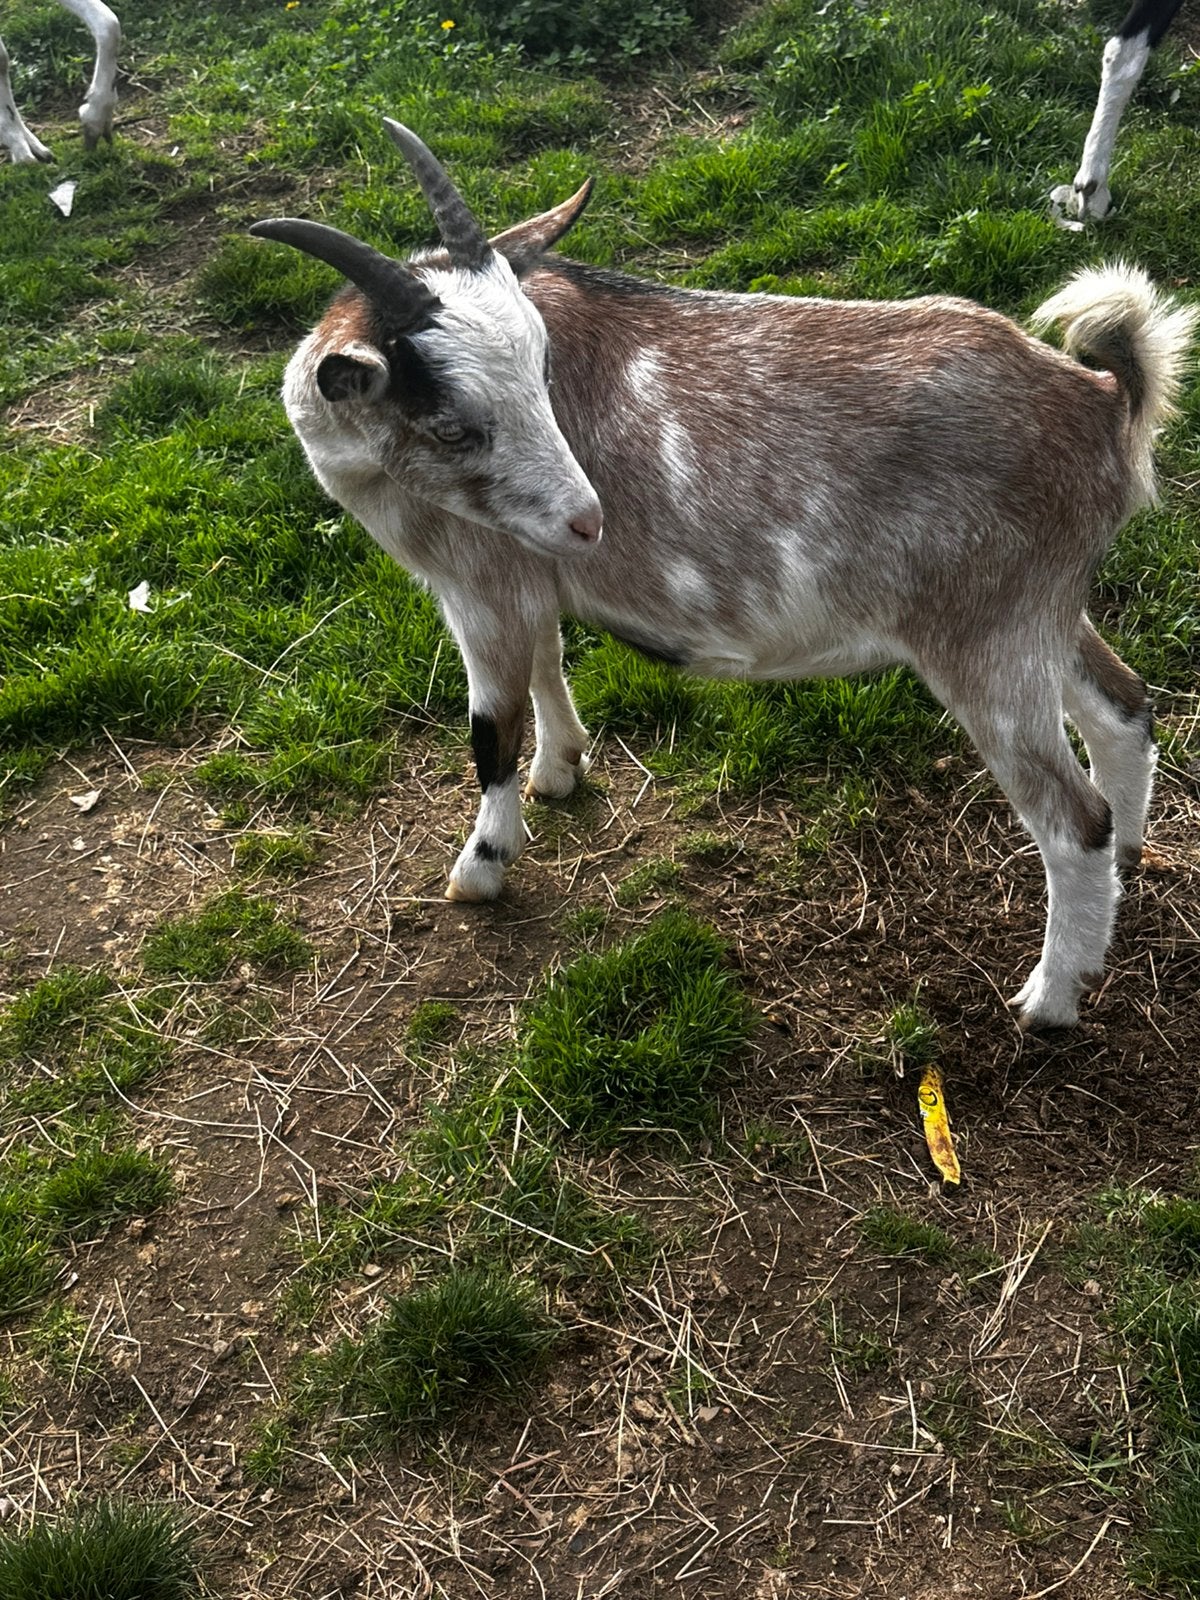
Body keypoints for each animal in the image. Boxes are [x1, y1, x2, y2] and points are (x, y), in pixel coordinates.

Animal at [251, 121, 1196, 1032]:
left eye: (540, 382)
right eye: (452, 425)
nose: (588, 521)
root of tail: (1101, 398)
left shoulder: (480, 588)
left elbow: (492, 732)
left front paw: (481, 868)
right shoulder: (529, 578)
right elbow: (548, 666)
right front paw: (561, 771)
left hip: (985, 640)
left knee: (1072, 822)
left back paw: (1050, 1001)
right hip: (1041, 613)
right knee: (1124, 710)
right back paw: (1130, 866)